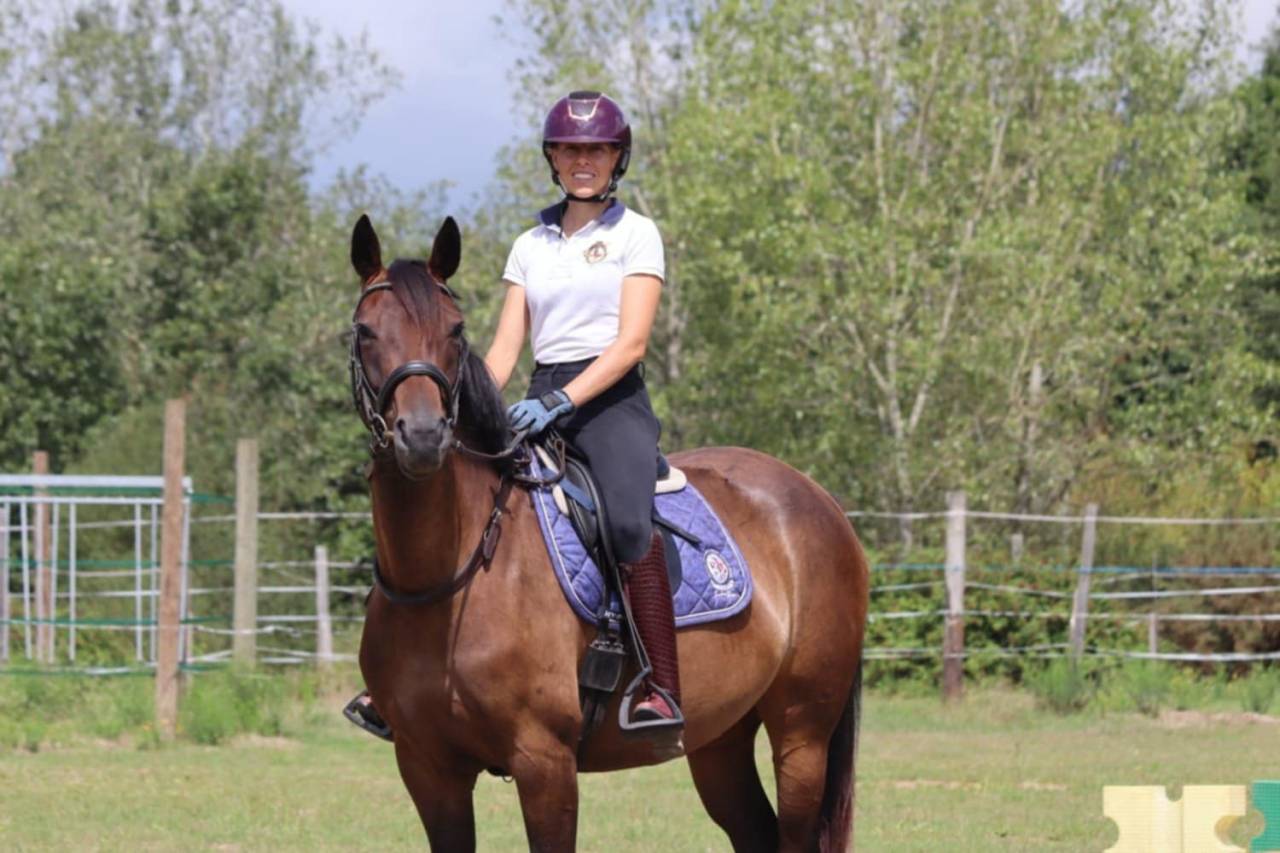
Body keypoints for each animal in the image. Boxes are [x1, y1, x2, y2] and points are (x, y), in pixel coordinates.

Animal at [349, 213, 870, 852]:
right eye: (365, 331)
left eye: (456, 330)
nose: (422, 437)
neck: (449, 578)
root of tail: (821, 501)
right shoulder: (427, 769)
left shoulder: (544, 763)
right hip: (720, 738)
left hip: (802, 733)